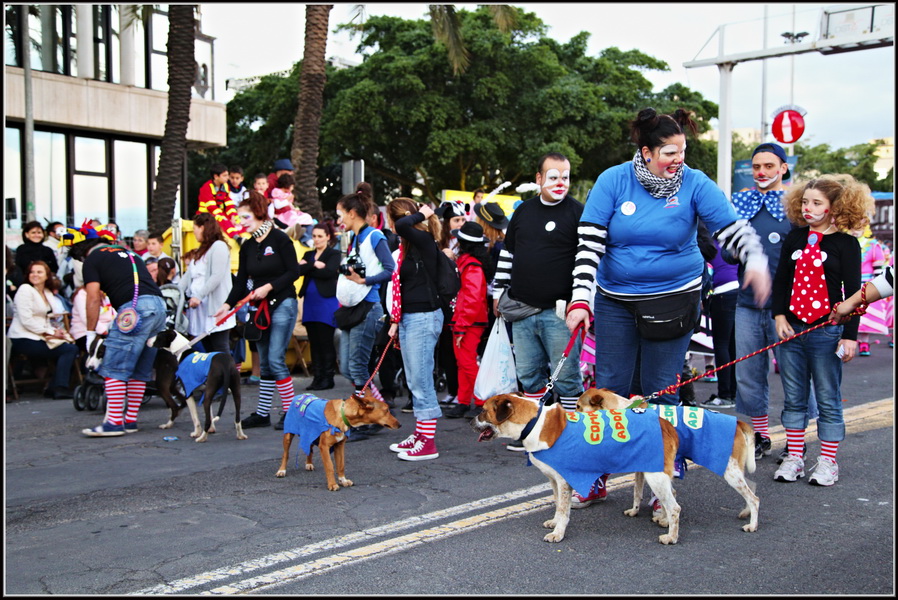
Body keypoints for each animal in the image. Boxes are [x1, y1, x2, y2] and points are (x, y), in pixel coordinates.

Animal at [272, 390, 400, 492]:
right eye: (386, 410)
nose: (400, 425)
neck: (343, 416)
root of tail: (301, 394)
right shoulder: (324, 447)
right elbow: (330, 466)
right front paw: (332, 484)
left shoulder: (340, 445)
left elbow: (341, 465)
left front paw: (343, 480)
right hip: (288, 435)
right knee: (286, 454)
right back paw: (282, 470)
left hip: (310, 433)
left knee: (309, 448)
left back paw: (309, 463)